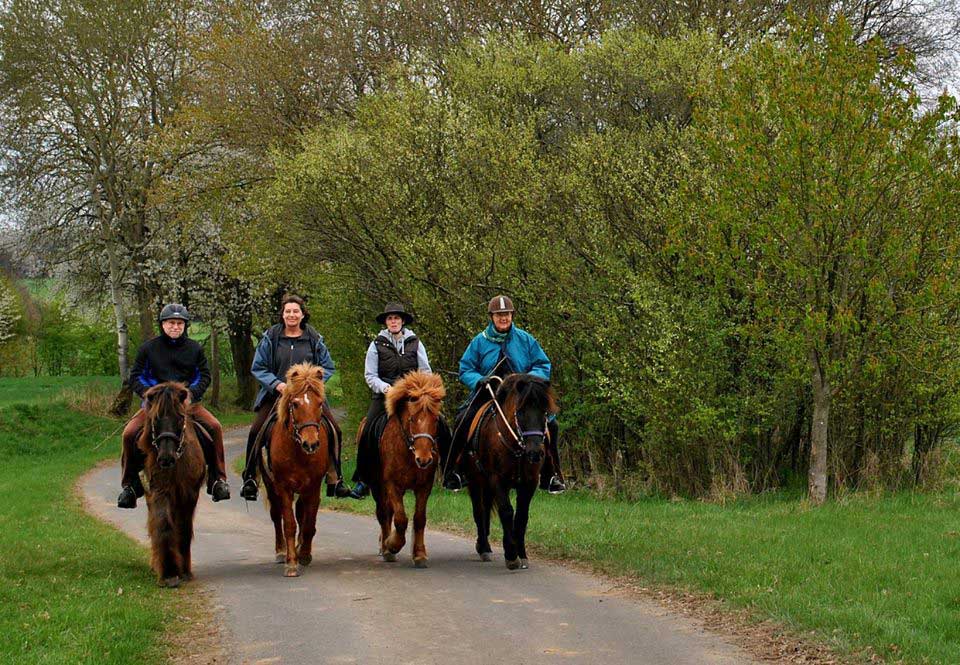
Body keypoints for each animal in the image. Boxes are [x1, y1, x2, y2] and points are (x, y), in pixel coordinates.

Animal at [138, 382, 206, 588]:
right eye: (155, 419)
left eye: (180, 417)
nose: (166, 459)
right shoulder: (159, 491)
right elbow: (163, 524)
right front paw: (169, 572)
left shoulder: (189, 494)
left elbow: (183, 528)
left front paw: (184, 572)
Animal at [259, 362, 333, 577]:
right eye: (295, 404)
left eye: (319, 403)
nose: (311, 444)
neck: (298, 451)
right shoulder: (284, 487)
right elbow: (289, 524)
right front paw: (291, 563)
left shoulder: (314, 486)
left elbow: (308, 522)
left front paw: (305, 554)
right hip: (270, 485)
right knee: (277, 516)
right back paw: (281, 552)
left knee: (301, 514)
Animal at [364, 371, 445, 568]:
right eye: (412, 419)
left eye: (435, 419)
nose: (424, 459)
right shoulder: (392, 485)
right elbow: (400, 519)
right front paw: (392, 545)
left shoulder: (424, 486)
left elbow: (419, 519)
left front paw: (420, 554)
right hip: (377, 486)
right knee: (383, 514)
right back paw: (386, 548)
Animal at [465, 373, 557, 570]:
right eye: (520, 412)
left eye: (544, 413)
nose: (535, 453)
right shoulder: (497, 479)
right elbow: (506, 512)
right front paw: (511, 554)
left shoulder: (529, 482)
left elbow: (521, 516)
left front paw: (521, 553)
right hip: (476, 480)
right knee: (479, 510)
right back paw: (483, 547)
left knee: (485, 509)